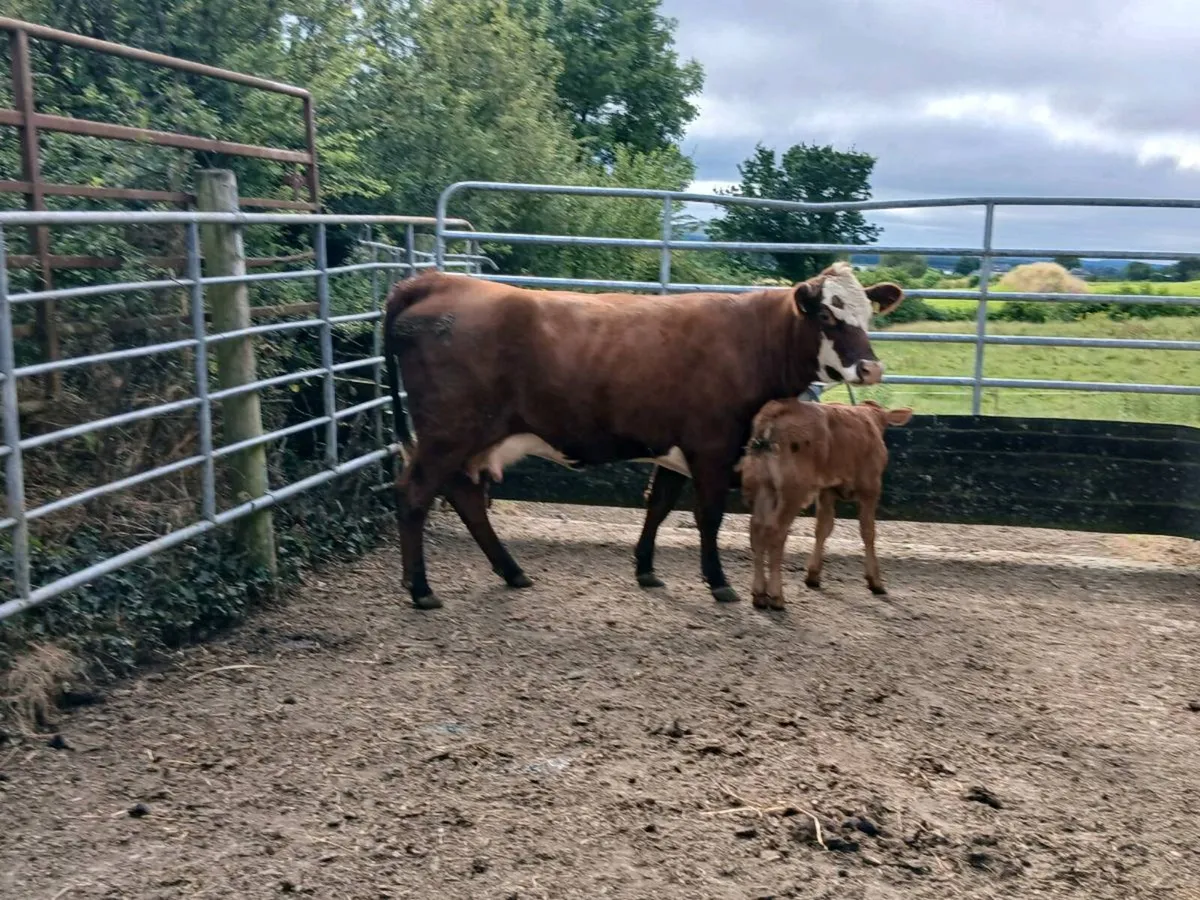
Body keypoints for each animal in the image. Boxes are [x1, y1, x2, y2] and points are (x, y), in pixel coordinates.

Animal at [735, 398, 913, 610]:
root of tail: (776, 413)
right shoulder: (870, 489)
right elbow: (868, 532)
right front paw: (875, 581)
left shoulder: (826, 491)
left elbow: (823, 528)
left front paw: (813, 575)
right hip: (793, 492)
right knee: (776, 532)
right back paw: (776, 596)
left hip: (764, 487)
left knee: (757, 529)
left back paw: (759, 594)